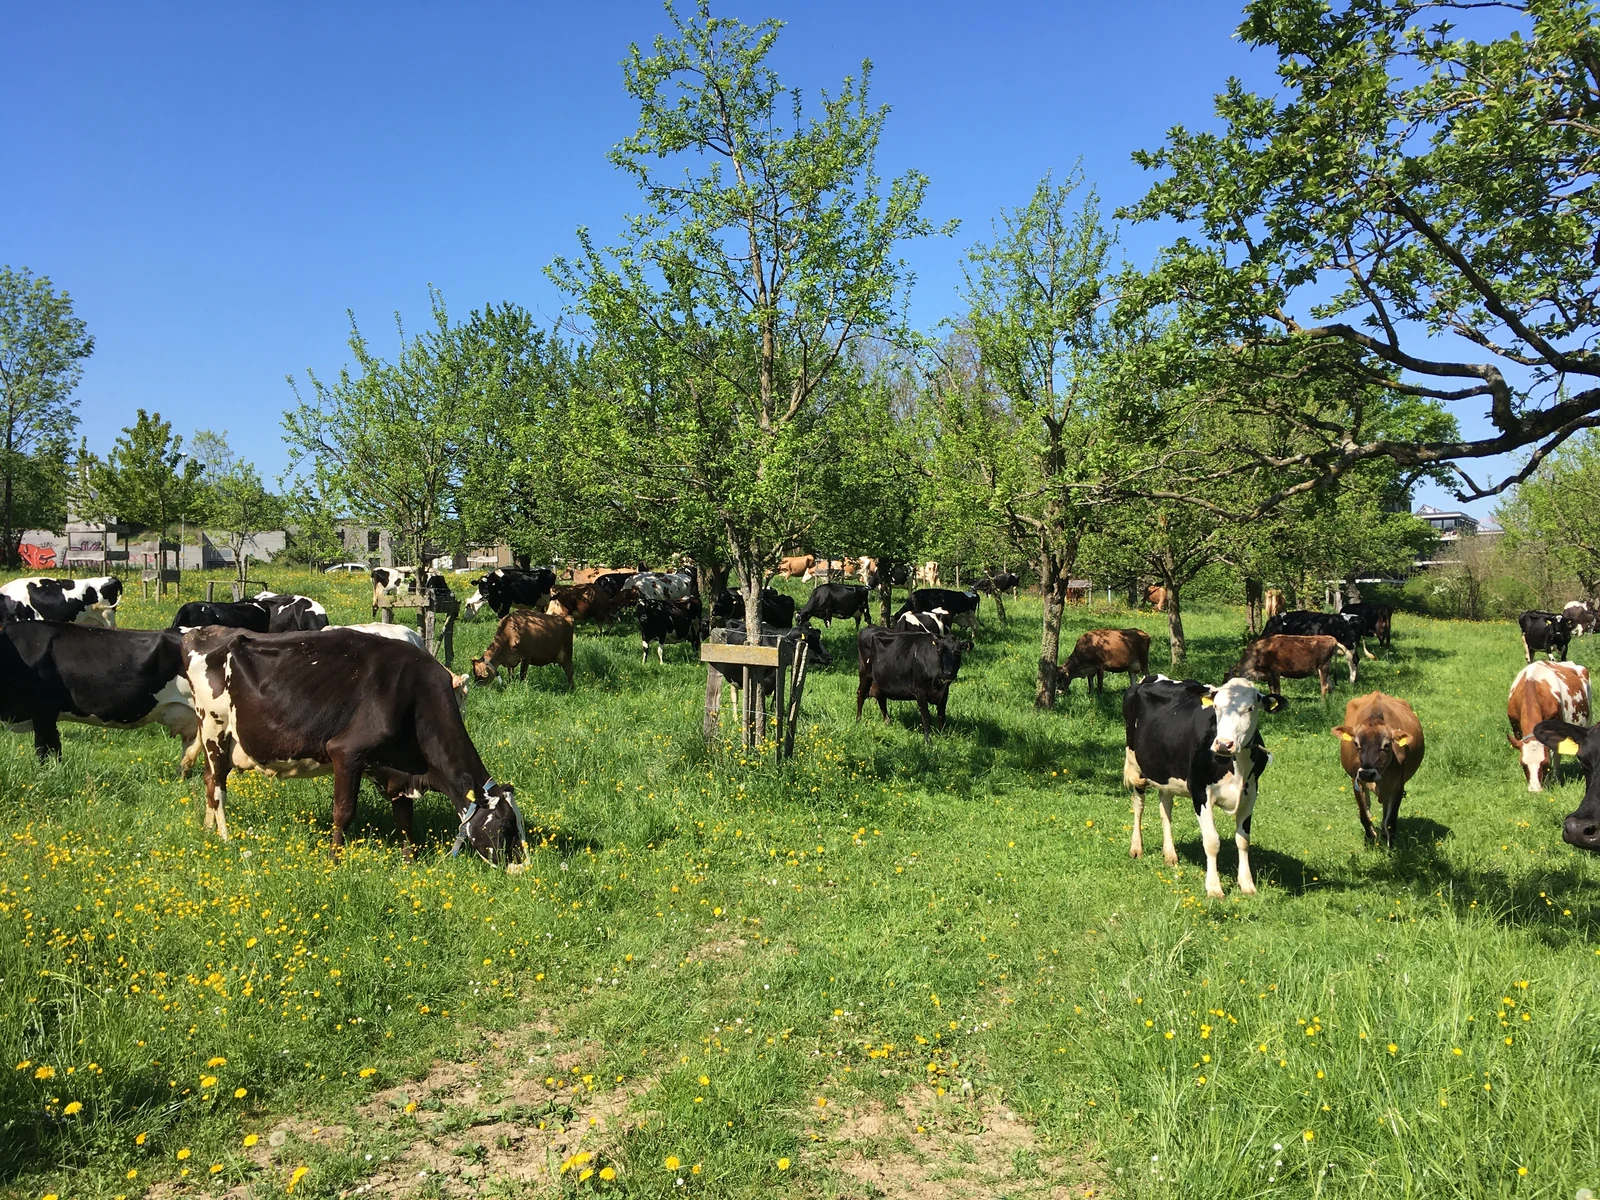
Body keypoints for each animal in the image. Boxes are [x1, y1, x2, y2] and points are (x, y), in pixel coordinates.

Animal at [183, 627, 523, 863]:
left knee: (209, 781)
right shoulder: (347, 752)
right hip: (214, 728)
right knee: (217, 787)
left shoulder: (397, 769)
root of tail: (202, 635)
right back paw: (225, 838)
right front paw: (334, 861)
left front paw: (410, 860)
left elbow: (404, 817)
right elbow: (343, 812)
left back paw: (208, 832)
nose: (522, 866)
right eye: (506, 824)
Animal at [1123, 675, 1286, 898]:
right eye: (1216, 707)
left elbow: (1243, 839)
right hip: (1136, 765)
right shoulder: (1200, 792)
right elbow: (1212, 841)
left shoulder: (1250, 792)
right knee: (1138, 806)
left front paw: (1247, 884)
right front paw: (1214, 888)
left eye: (1250, 708)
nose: (1224, 744)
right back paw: (1136, 848)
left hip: (1165, 772)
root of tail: (1151, 677)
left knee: (1165, 809)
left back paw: (1170, 855)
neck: (1235, 765)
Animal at [1331, 691, 1424, 848]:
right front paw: (1370, 838)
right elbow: (1364, 815)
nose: (1367, 773)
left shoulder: (1398, 785)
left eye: (1386, 745)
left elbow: (1391, 821)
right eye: (1356, 743)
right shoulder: (1356, 781)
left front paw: (1390, 846)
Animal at [1506, 660, 1591, 791]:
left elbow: (1553, 755)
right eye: (1523, 764)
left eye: (1545, 764)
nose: (1535, 790)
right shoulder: (1517, 731)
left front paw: (1547, 782)